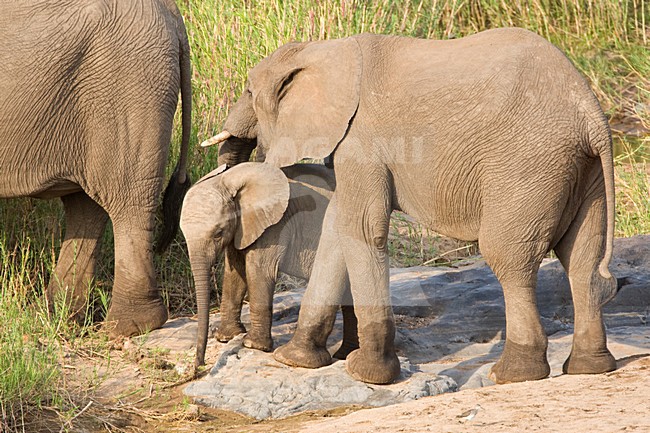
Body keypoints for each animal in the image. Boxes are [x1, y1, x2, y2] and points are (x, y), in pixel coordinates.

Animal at [0, 0, 192, 336]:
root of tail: (171, 13)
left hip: (128, 91)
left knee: (125, 199)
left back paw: (125, 327)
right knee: (85, 204)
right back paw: (56, 316)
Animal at [179, 162, 358, 366]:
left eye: (218, 233)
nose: (199, 365)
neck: (229, 179)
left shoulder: (274, 226)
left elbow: (258, 271)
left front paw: (252, 345)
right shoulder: (243, 226)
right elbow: (235, 272)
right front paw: (226, 337)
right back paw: (345, 355)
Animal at [203, 28, 617, 385]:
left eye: (248, 91)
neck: (325, 49)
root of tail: (592, 115)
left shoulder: (362, 138)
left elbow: (362, 227)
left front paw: (366, 374)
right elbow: (339, 227)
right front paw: (295, 360)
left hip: (528, 164)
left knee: (509, 257)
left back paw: (513, 374)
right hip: (583, 170)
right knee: (582, 257)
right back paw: (590, 367)